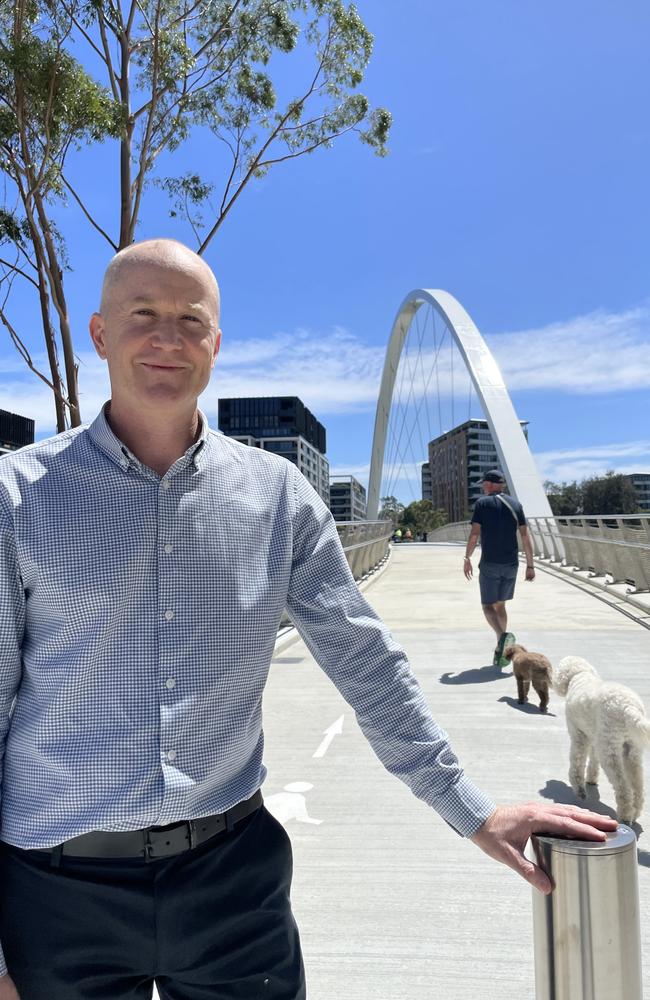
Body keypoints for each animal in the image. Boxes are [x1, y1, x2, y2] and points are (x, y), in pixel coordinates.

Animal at [552, 652, 648, 824]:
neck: (580, 674)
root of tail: (628, 707)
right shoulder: (594, 736)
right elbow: (593, 760)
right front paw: (591, 778)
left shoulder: (579, 734)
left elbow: (577, 762)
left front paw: (579, 789)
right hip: (631, 749)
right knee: (637, 785)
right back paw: (635, 812)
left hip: (609, 750)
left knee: (623, 788)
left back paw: (625, 815)